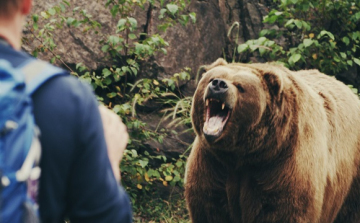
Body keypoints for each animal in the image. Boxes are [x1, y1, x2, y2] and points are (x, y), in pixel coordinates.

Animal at [184, 58, 360, 223]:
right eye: (212, 78)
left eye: (240, 86)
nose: (219, 85)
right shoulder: (213, 162)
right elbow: (210, 207)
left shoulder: (284, 162)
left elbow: (283, 210)